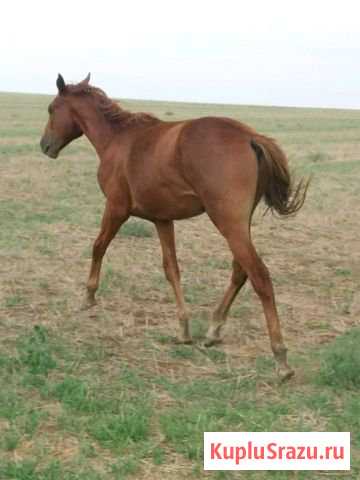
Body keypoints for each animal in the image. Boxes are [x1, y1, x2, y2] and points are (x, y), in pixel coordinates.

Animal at [40, 75, 308, 380]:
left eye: (51, 109)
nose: (45, 146)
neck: (119, 140)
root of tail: (250, 136)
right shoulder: (162, 220)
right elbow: (172, 269)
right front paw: (183, 329)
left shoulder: (116, 209)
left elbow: (98, 247)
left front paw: (88, 296)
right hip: (240, 225)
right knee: (240, 271)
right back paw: (213, 330)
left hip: (228, 223)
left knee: (260, 276)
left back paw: (280, 357)